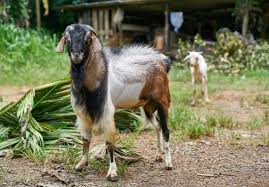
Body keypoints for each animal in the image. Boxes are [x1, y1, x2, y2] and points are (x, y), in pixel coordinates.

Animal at [55, 23, 172, 181]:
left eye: (88, 39)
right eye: (67, 39)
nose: (76, 55)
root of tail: (162, 63)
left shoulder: (107, 112)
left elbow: (109, 143)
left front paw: (112, 173)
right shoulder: (82, 115)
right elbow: (85, 140)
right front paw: (81, 165)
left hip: (162, 101)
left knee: (166, 130)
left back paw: (168, 163)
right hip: (147, 106)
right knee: (158, 126)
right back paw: (159, 156)